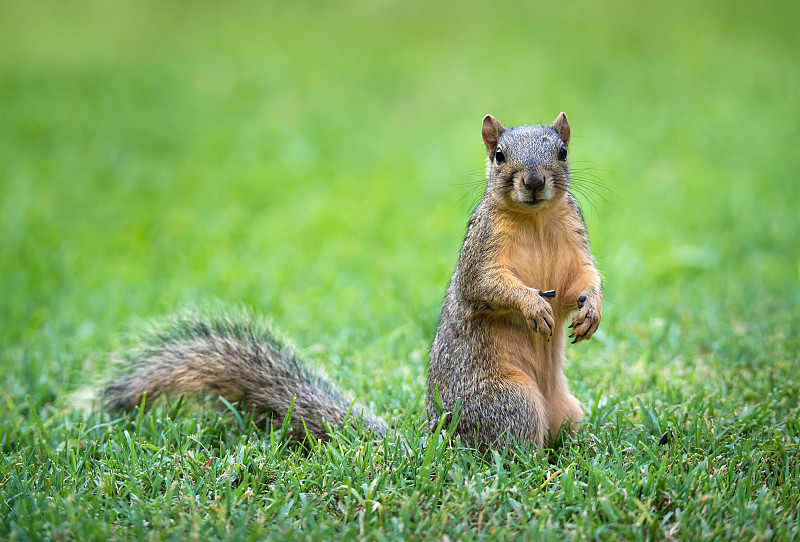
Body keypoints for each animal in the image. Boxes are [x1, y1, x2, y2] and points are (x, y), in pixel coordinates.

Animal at [101, 112, 600, 452]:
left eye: (562, 152)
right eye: (499, 156)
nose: (533, 182)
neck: (534, 219)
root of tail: (437, 441)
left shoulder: (575, 237)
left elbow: (583, 278)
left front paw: (591, 309)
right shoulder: (481, 252)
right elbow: (486, 287)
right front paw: (532, 306)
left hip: (568, 409)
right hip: (509, 402)